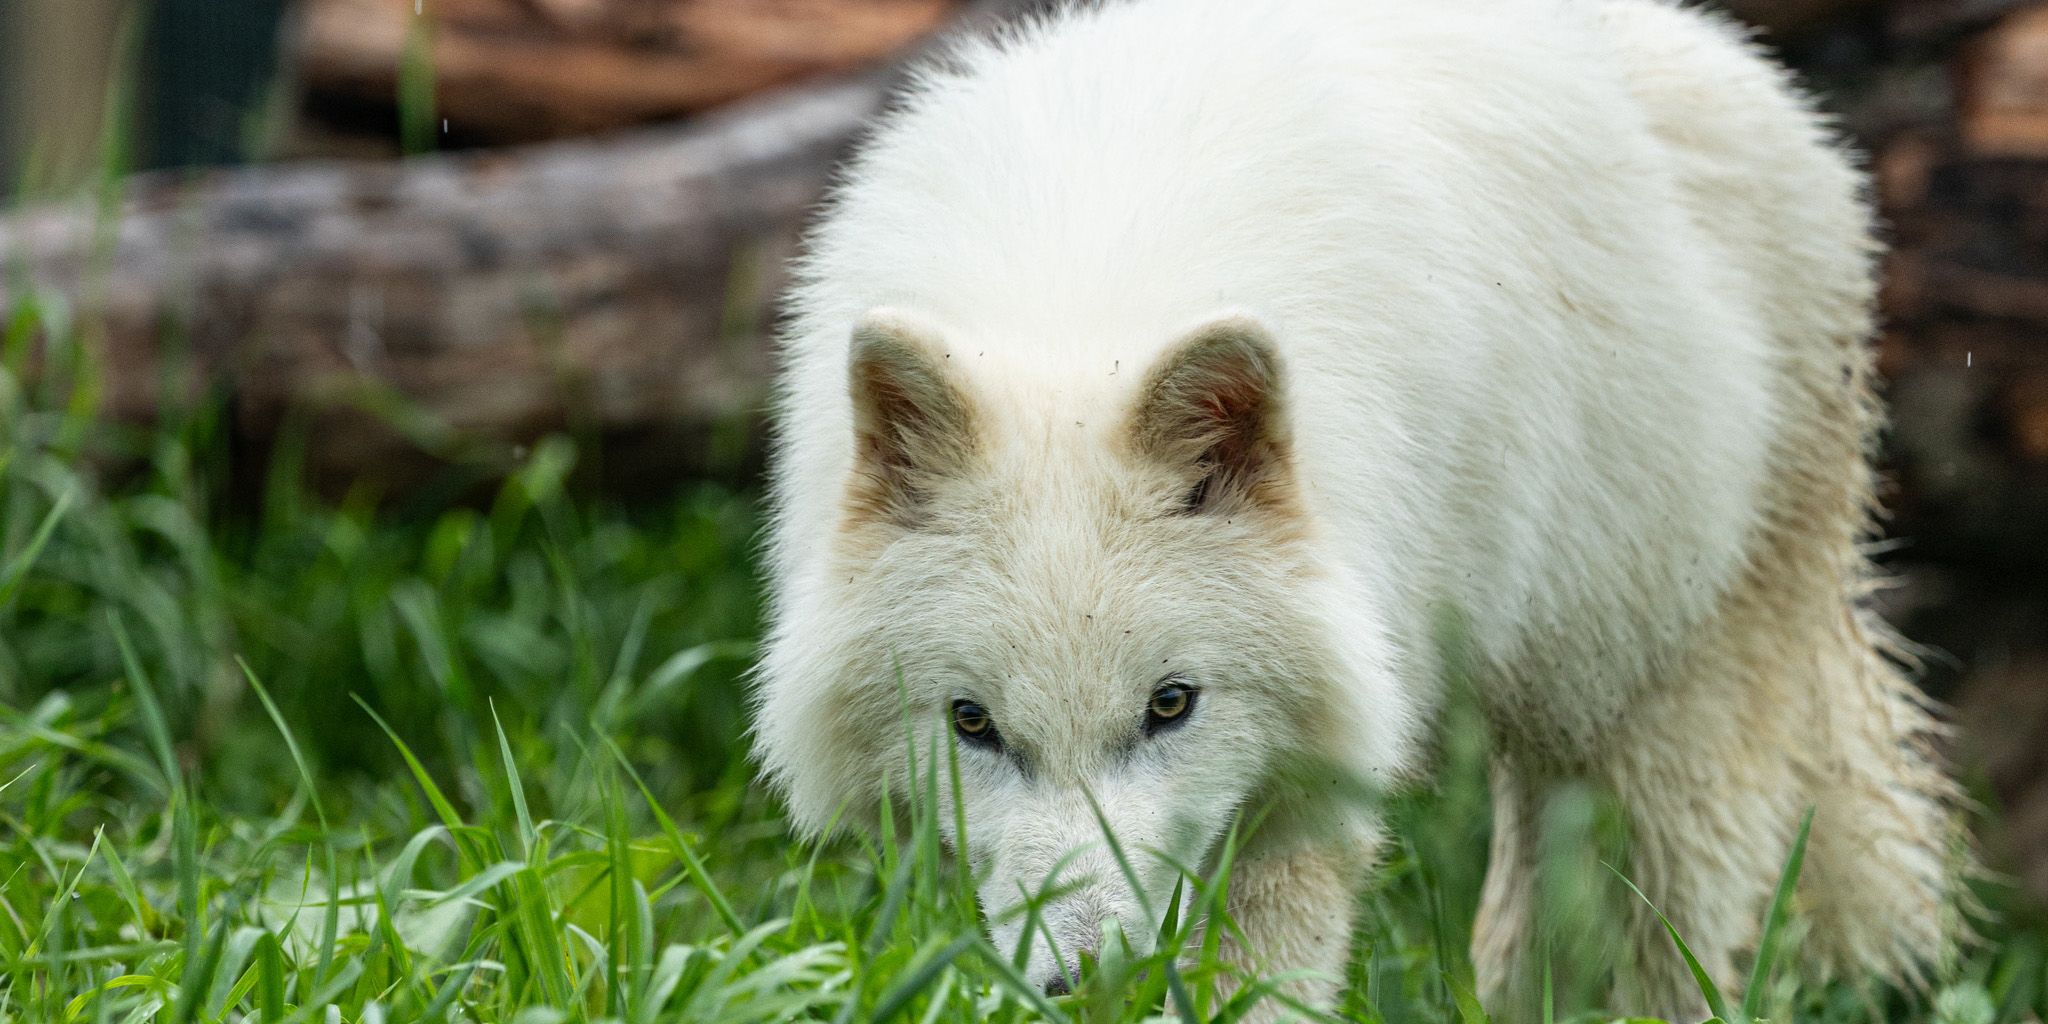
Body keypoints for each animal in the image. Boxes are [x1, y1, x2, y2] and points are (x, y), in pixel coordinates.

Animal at [751, 0, 1963, 1017]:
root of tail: (1750, 68)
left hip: (1649, 707)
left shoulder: (1302, 795)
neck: (1078, 302)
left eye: (1170, 705)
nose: (1089, 977)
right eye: (973, 725)